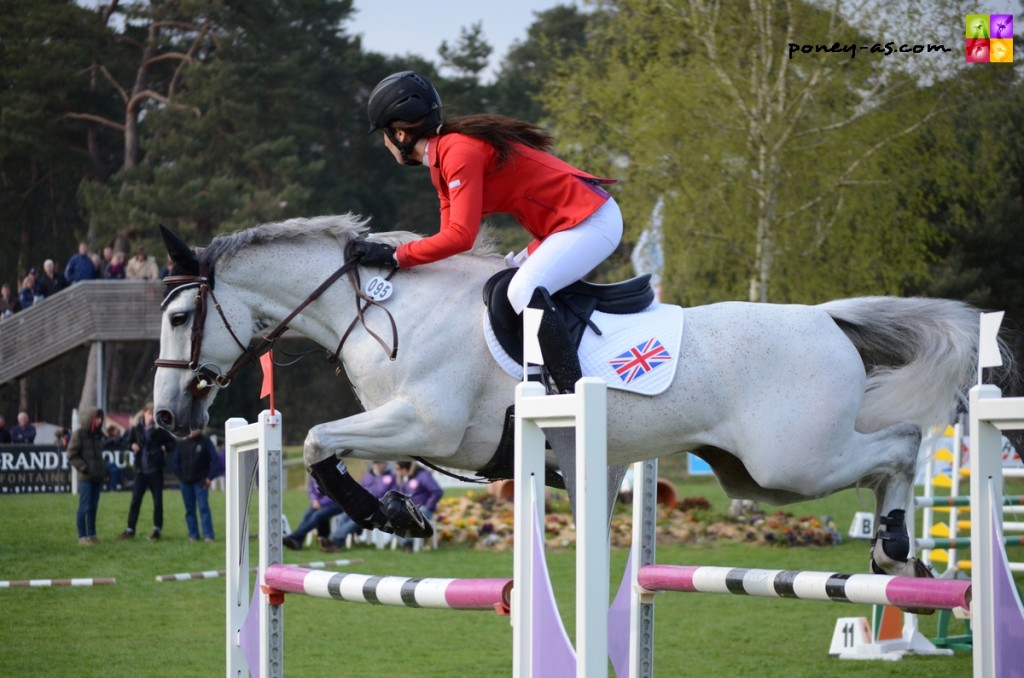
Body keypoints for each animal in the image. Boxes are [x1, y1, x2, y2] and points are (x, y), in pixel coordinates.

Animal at [153, 215, 991, 577]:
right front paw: (394, 512)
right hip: (753, 475)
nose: (166, 417)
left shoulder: (428, 426)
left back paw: (894, 542)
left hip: (793, 461)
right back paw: (894, 553)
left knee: (900, 445)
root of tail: (826, 317)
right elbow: (325, 447)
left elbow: (322, 442)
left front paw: (392, 514)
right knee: (884, 455)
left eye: (178, 316)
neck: (387, 309)